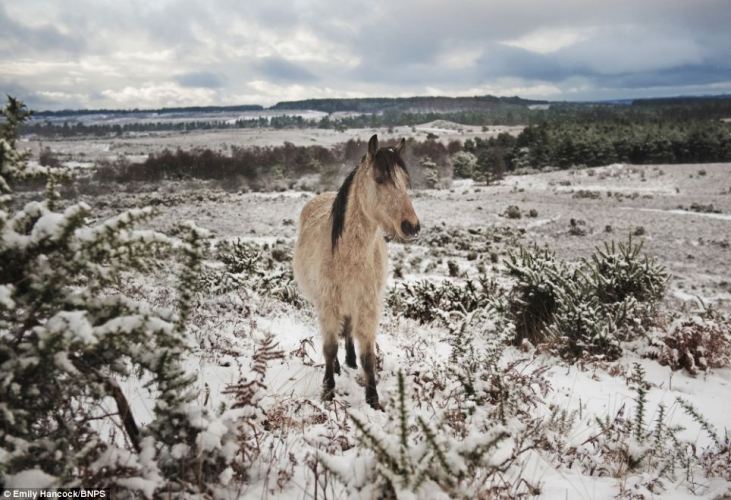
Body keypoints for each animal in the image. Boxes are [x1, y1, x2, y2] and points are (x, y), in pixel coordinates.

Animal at [290, 135, 418, 408]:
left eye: (406, 181)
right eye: (380, 179)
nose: (411, 226)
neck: (349, 256)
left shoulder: (367, 306)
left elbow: (368, 355)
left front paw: (373, 399)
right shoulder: (328, 304)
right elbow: (329, 348)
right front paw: (328, 391)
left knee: (348, 330)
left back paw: (348, 360)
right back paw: (339, 366)